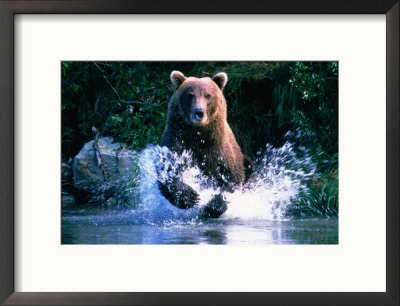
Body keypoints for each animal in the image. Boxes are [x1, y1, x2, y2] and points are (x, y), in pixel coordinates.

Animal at [157, 70, 253, 218]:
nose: (199, 112)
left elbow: (231, 177)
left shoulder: (219, 148)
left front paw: (211, 206)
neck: (199, 134)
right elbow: (167, 170)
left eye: (208, 95)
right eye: (190, 95)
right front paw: (190, 196)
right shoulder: (176, 140)